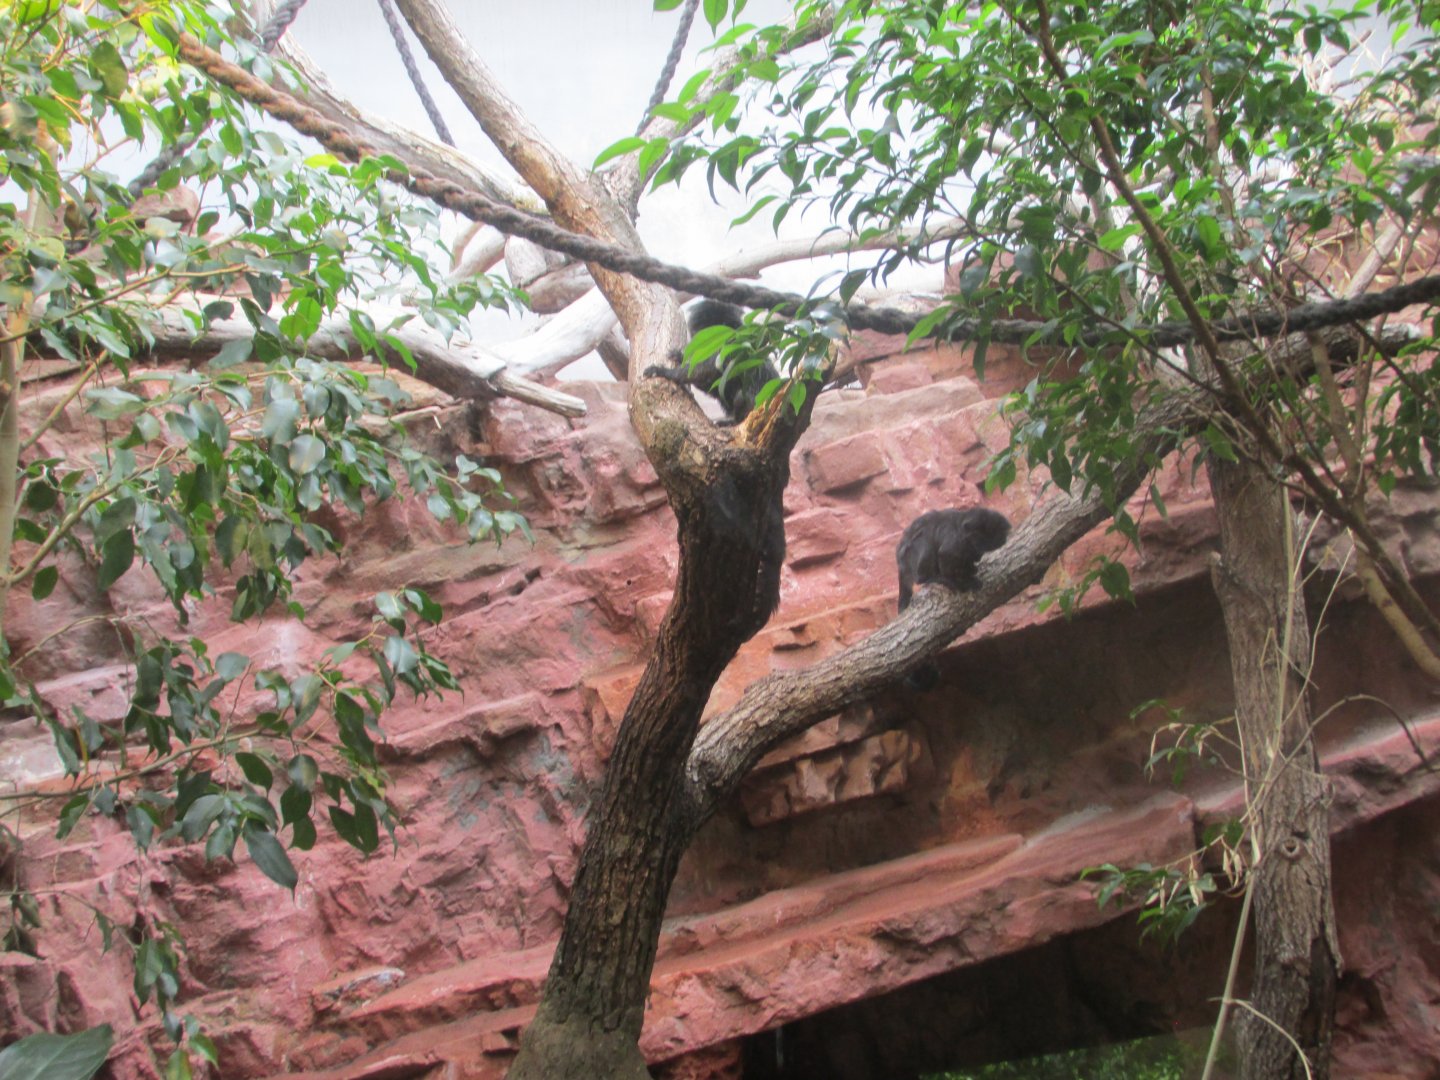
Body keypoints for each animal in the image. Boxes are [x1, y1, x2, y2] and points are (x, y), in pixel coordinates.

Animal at [645, 300, 781, 424]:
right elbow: (710, 384)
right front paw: (680, 356)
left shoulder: (726, 349)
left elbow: (704, 373)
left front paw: (663, 371)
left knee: (740, 396)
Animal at [896, 507, 1011, 690]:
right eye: (978, 543)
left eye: (983, 549)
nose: (978, 554)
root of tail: (900, 563)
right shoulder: (956, 543)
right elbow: (945, 555)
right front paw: (961, 582)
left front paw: (970, 571)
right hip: (911, 556)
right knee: (925, 545)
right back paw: (932, 578)